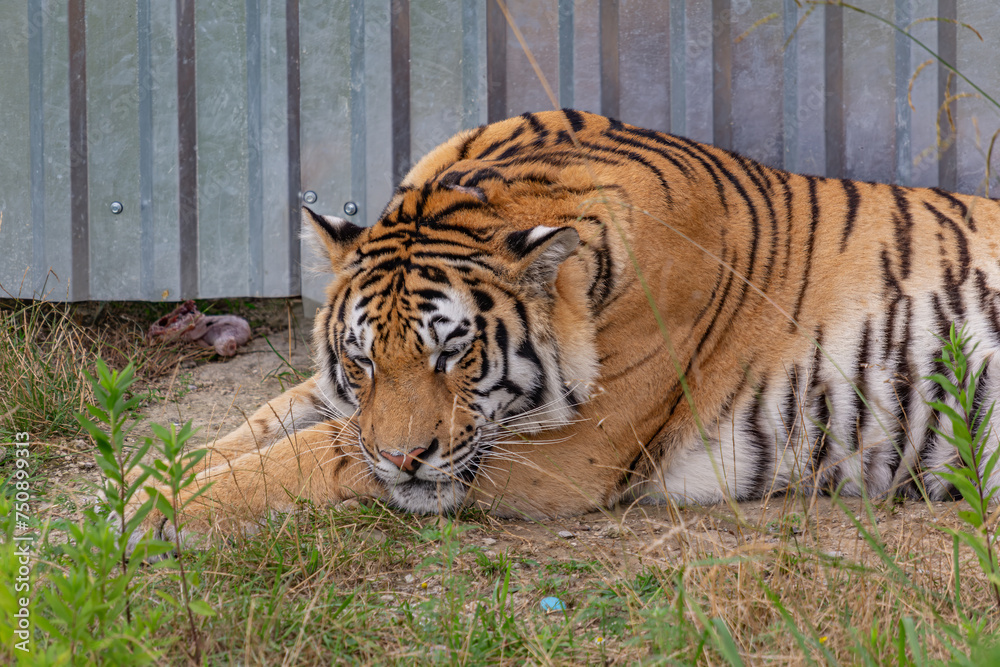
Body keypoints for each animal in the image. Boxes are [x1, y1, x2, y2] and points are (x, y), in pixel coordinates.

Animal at [122, 109, 1000, 548]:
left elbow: (321, 449)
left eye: (454, 352)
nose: (406, 459)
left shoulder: (565, 453)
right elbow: (268, 420)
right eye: (362, 360)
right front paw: (136, 481)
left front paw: (165, 507)